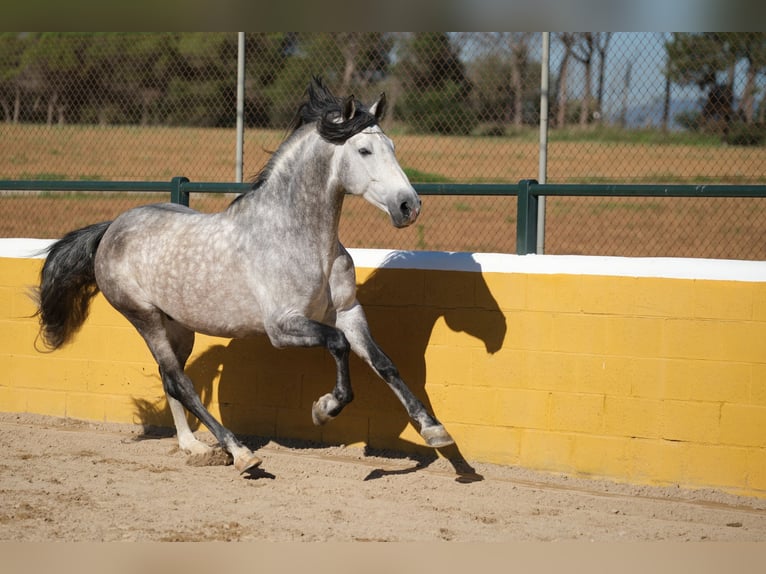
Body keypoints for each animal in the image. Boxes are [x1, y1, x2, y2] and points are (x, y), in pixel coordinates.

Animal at [33, 77, 456, 476]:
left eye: (393, 147)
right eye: (364, 150)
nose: (409, 206)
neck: (301, 239)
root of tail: (112, 228)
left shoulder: (349, 312)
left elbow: (384, 363)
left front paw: (436, 431)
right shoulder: (282, 327)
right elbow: (337, 346)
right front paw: (324, 408)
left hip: (178, 326)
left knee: (171, 379)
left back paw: (194, 448)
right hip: (145, 318)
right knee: (182, 382)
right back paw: (240, 453)